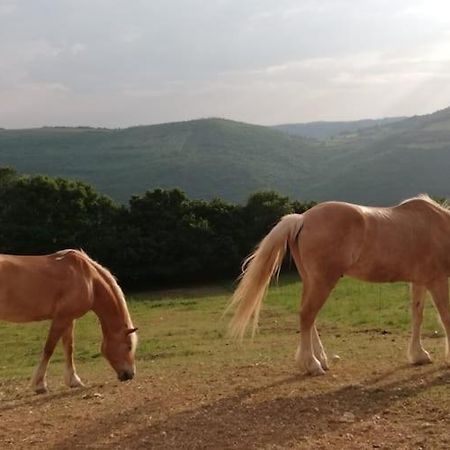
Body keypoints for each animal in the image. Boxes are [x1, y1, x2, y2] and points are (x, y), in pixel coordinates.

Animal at [0, 250, 137, 394]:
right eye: (129, 346)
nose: (130, 374)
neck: (89, 279)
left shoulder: (69, 319)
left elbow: (69, 348)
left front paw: (74, 381)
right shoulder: (61, 318)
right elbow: (49, 349)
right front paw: (40, 385)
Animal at [229, 195, 450, 374]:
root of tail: (302, 218)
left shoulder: (420, 282)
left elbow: (417, 316)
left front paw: (419, 355)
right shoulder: (437, 281)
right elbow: (445, 316)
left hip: (311, 281)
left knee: (309, 317)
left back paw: (321, 359)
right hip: (323, 281)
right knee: (307, 315)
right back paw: (312, 364)